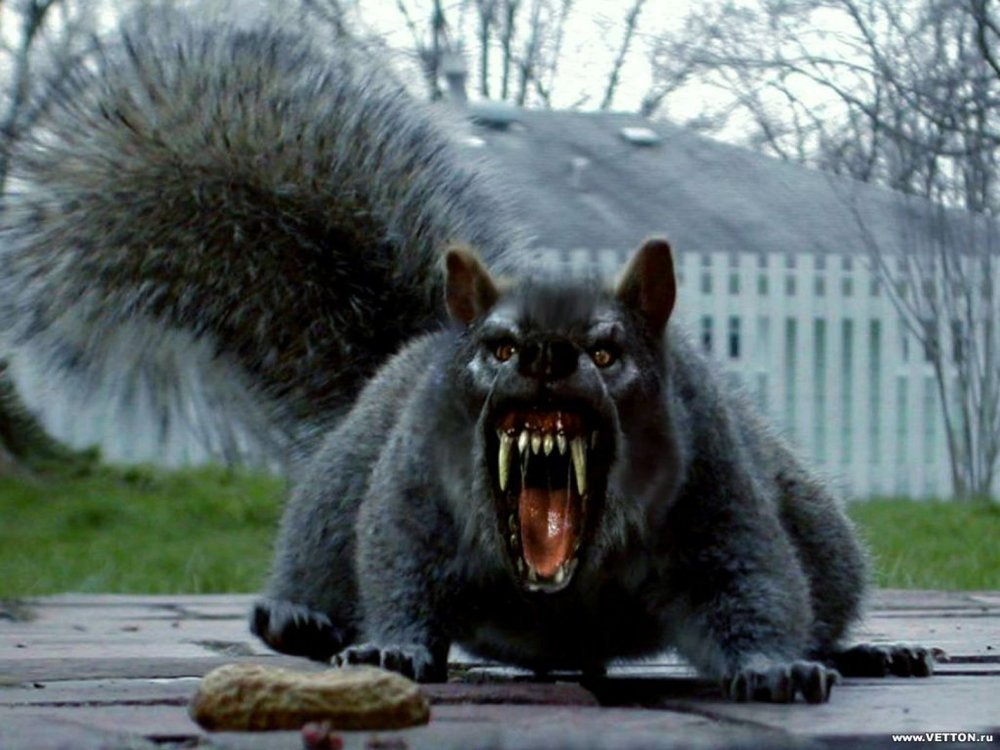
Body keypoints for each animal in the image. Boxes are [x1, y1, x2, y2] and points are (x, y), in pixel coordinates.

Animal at [0, 9, 934, 702]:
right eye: (499, 347)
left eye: (609, 352)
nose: (547, 359)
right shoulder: (416, 485)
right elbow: (400, 567)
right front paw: (395, 651)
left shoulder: (716, 487)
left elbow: (754, 581)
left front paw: (777, 665)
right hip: (336, 492)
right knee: (322, 554)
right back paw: (299, 622)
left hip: (821, 527)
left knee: (819, 584)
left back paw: (863, 652)